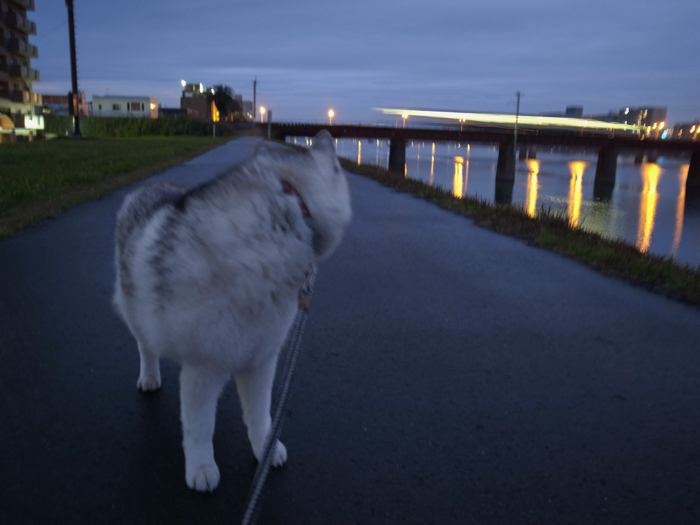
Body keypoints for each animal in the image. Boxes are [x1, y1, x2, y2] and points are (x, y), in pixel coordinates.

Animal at [116, 132, 356, 492]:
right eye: (336, 164)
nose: (324, 135)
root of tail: (147, 186)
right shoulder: (203, 367)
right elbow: (199, 426)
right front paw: (201, 468)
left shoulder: (261, 359)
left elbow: (261, 415)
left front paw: (265, 450)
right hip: (135, 313)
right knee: (146, 346)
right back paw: (149, 376)